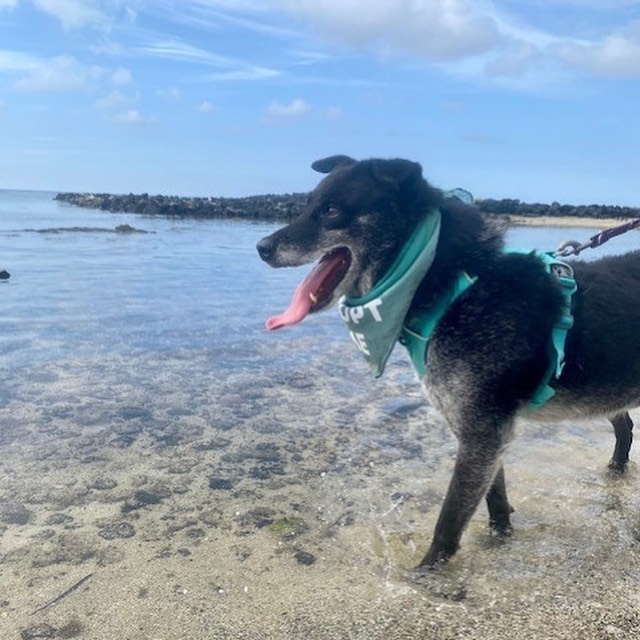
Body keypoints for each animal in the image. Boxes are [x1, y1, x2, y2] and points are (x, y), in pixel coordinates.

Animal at [256, 156, 640, 568]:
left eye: (330, 210)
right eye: (307, 206)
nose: (262, 247)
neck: (452, 286)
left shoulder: (483, 431)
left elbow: (450, 518)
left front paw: (427, 571)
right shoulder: (478, 430)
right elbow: (494, 498)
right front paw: (500, 537)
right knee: (624, 424)